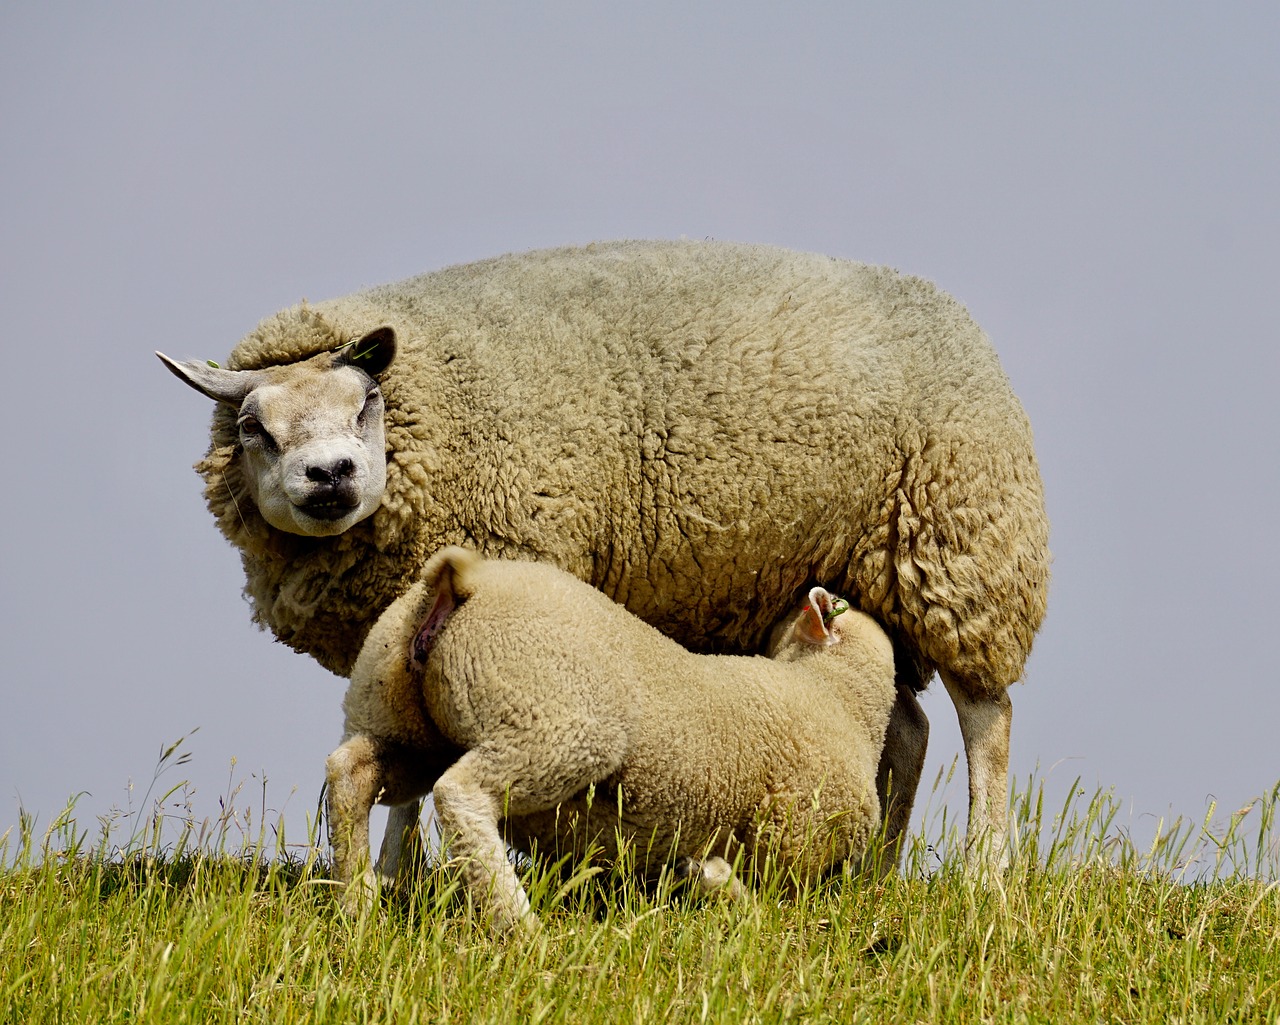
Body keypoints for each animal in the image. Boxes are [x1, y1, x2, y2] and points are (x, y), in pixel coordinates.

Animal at [157, 238, 1049, 865]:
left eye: (367, 401)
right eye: (253, 427)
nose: (331, 474)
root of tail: (952, 312)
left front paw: (410, 874)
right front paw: (396, 875)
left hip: (959, 551)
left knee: (986, 719)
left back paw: (985, 876)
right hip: (857, 574)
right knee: (902, 724)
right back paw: (875, 870)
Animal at [325, 547, 896, 931]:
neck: (837, 698)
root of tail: (462, 580)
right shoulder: (793, 843)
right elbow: (771, 908)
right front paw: (717, 882)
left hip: (402, 721)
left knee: (351, 772)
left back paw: (357, 905)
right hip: (555, 723)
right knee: (460, 793)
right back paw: (520, 927)